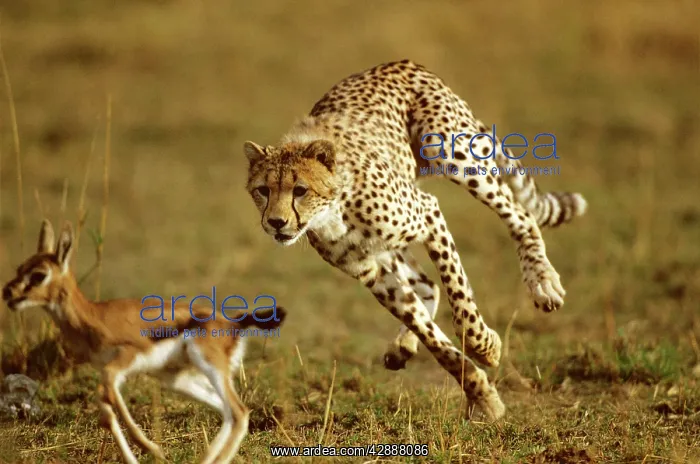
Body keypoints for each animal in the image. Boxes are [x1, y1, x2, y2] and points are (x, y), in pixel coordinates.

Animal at [2, 219, 287, 463]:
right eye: (20, 268)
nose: (8, 293)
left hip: (208, 366)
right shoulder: (110, 372)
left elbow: (107, 395)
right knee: (226, 412)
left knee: (239, 412)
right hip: (175, 379)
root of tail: (234, 321)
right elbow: (107, 411)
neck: (93, 316)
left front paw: (153, 449)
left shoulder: (122, 361)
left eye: (39, 275)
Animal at [242, 59, 587, 421]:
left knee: (520, 216)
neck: (333, 209)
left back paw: (543, 282)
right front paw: (481, 395)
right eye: (263, 190)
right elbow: (431, 335)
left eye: (300, 190)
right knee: (426, 285)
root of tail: (398, 63)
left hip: (452, 152)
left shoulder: (428, 214)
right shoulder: (371, 272)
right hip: (390, 244)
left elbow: (460, 301)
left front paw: (484, 346)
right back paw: (403, 345)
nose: (276, 223)